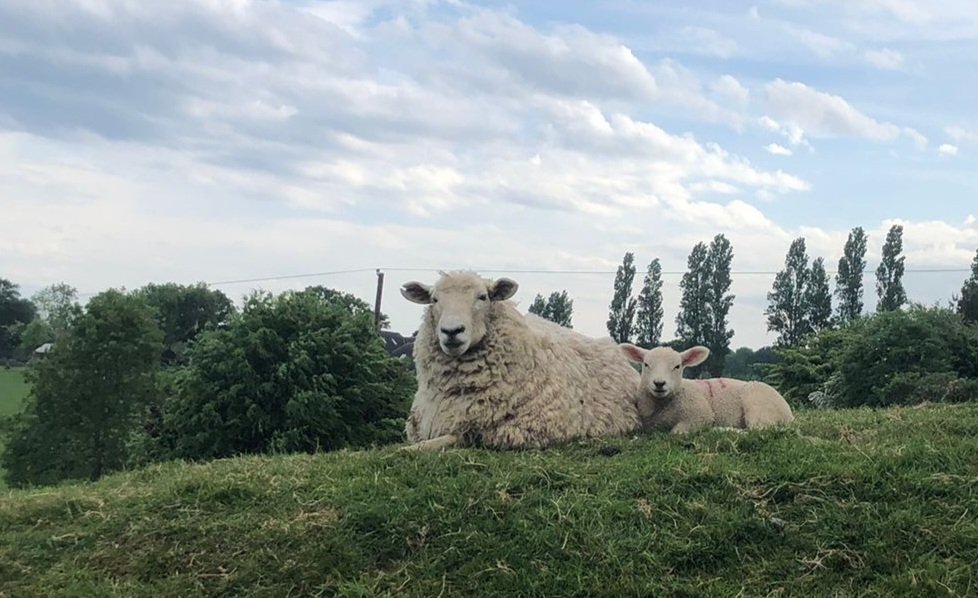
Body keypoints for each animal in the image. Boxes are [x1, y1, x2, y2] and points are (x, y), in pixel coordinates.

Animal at [619, 344, 794, 434]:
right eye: (646, 364)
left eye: (677, 366)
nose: (659, 383)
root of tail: (790, 415)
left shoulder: (700, 414)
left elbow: (676, 433)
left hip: (758, 404)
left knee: (760, 430)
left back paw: (721, 429)